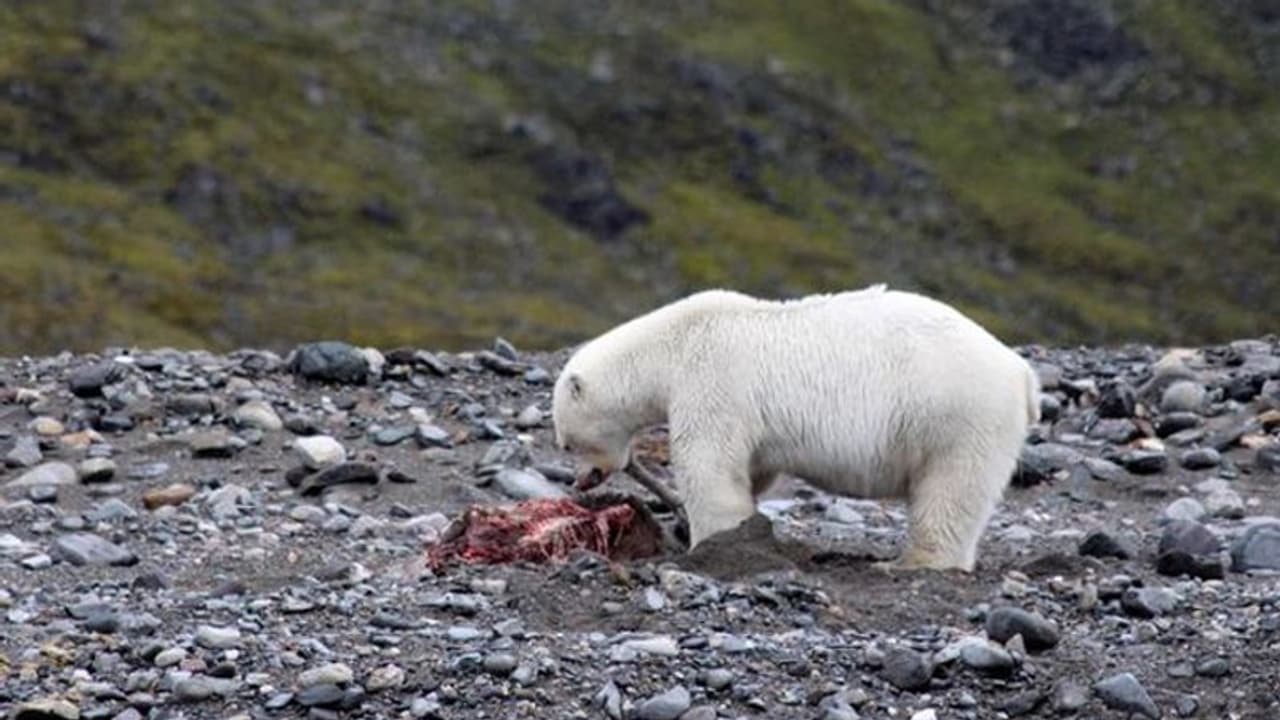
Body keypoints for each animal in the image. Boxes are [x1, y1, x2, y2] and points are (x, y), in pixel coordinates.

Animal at [551, 284, 1041, 572]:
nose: (582, 481)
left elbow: (709, 464)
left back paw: (913, 562)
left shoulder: (710, 379)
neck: (673, 344)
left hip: (957, 415)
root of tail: (1021, 373)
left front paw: (709, 543)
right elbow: (752, 468)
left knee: (951, 491)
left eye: (566, 442)